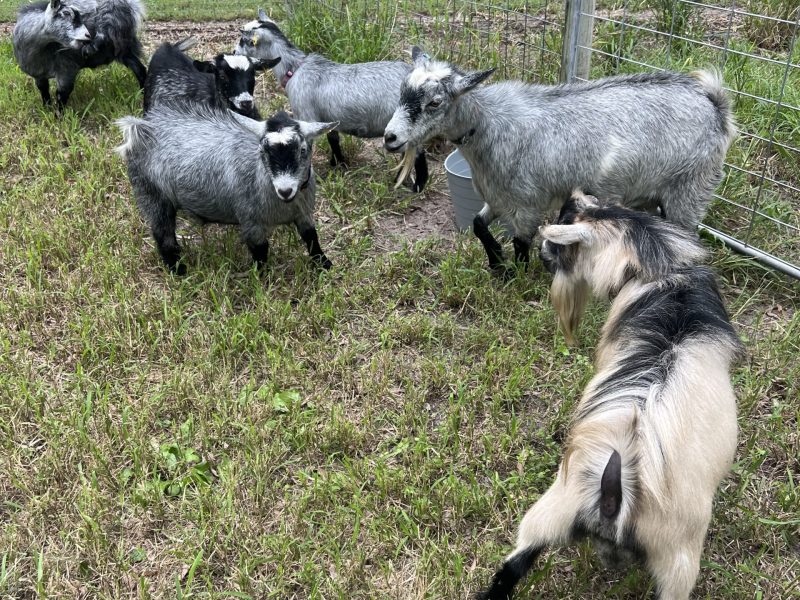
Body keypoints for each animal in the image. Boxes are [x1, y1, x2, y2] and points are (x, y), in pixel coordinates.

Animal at [13, 0, 146, 108]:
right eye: (66, 13)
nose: (88, 35)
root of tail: (131, 6)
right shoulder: (39, 75)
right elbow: (44, 91)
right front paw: (47, 109)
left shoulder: (66, 69)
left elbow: (61, 94)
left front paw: (59, 118)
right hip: (124, 51)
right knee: (139, 69)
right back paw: (143, 92)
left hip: (114, 28)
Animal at [115, 102, 336, 274]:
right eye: (262, 151)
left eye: (303, 150)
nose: (285, 190)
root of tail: (142, 128)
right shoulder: (250, 221)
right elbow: (260, 250)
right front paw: (261, 278)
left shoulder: (304, 213)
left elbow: (311, 237)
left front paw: (324, 265)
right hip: (151, 194)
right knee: (163, 236)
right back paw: (178, 270)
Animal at [234, 8, 429, 192]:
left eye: (244, 40)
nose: (234, 51)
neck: (294, 69)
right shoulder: (327, 118)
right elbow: (333, 139)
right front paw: (339, 164)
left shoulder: (306, 116)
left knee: (417, 153)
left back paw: (417, 186)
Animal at [384, 48, 735, 276]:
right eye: (401, 92)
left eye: (434, 102)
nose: (390, 138)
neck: (490, 124)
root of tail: (715, 105)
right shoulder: (498, 196)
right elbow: (479, 225)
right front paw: (496, 265)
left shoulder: (527, 201)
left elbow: (521, 242)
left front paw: (518, 277)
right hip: (652, 193)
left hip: (690, 188)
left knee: (687, 236)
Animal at [476, 192, 743, 600]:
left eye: (560, 236)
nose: (541, 254)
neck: (664, 273)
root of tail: (615, 497)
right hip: (677, 560)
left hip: (556, 509)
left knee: (515, 563)